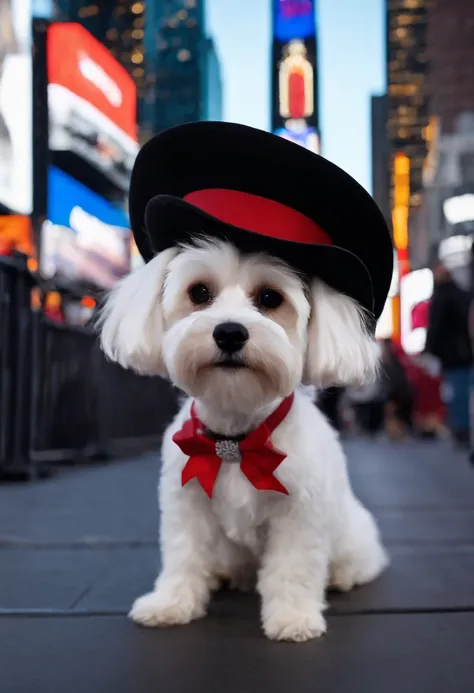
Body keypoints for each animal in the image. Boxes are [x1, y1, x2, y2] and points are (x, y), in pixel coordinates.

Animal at [98, 239, 386, 644]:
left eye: (270, 297)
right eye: (199, 292)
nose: (230, 333)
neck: (236, 440)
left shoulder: (299, 514)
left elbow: (293, 567)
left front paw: (293, 618)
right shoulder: (186, 503)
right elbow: (183, 555)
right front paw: (170, 603)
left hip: (353, 534)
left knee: (360, 560)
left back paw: (343, 576)